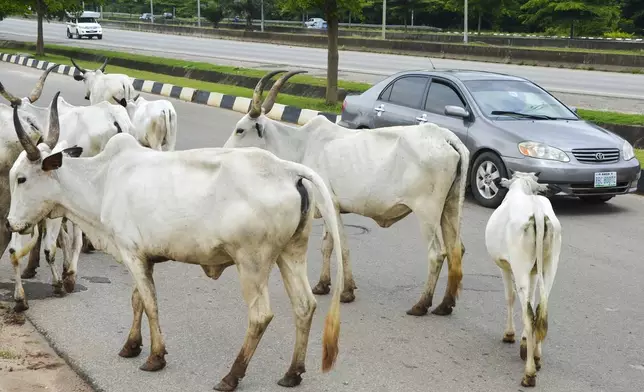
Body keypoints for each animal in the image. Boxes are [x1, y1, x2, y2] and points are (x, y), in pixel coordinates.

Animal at [224, 69, 470, 316]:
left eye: (240, 129)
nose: (224, 151)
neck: (301, 145)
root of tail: (446, 137)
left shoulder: (331, 205)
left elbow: (342, 247)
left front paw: (347, 292)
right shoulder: (326, 207)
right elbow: (327, 245)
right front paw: (323, 284)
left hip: (427, 211)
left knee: (437, 253)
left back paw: (422, 304)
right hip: (450, 206)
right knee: (457, 249)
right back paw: (445, 304)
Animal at [486, 171, 560, 386]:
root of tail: (537, 212)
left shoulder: (504, 265)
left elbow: (510, 298)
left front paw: (510, 335)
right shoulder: (534, 272)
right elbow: (533, 300)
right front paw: (526, 343)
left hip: (519, 267)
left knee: (528, 313)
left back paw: (529, 374)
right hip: (550, 266)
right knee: (540, 308)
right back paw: (536, 356)